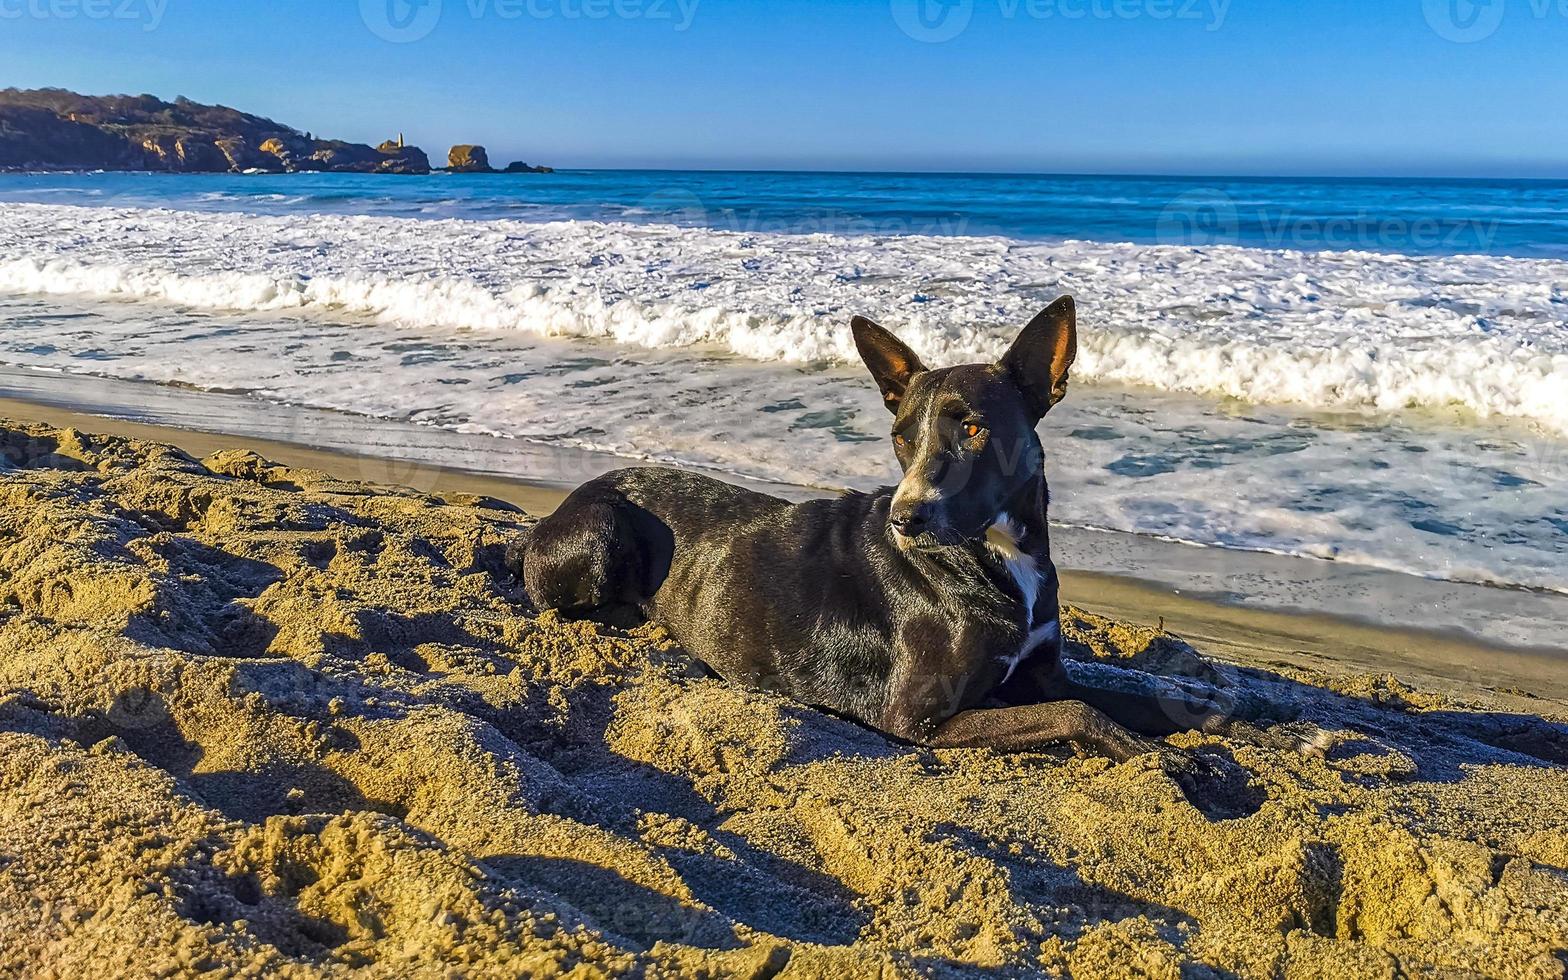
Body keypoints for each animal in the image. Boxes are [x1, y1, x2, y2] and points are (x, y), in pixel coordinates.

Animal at [526, 294, 1248, 762]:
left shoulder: (1048, 673)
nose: (904, 519)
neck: (994, 556)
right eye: (902, 437)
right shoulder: (918, 716)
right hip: (601, 532)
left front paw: (1257, 731)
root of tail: (562, 506)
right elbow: (1078, 712)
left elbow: (1154, 703)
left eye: (974, 428)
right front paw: (1163, 758)